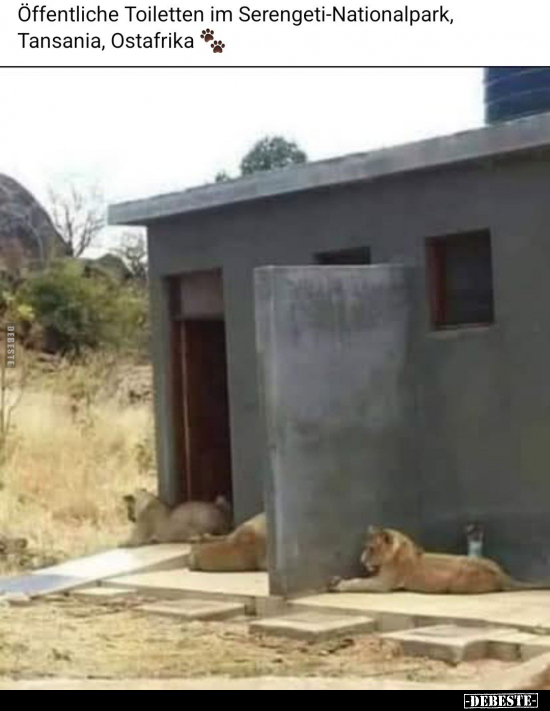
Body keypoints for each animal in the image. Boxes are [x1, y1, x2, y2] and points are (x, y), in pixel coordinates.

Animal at [330, 524, 548, 596]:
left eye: (371, 548)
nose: (361, 559)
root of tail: (502, 573)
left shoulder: (383, 583)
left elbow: (358, 582)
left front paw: (339, 585)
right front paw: (336, 580)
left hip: (457, 583)